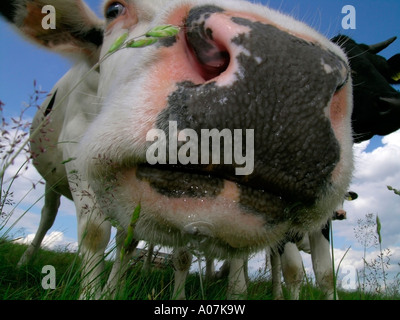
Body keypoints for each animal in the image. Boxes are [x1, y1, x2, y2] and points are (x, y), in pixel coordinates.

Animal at [2, 0, 354, 300]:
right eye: (114, 9)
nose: (282, 68)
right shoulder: (75, 146)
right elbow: (94, 234)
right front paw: (93, 294)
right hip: (52, 179)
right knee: (48, 217)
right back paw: (27, 260)